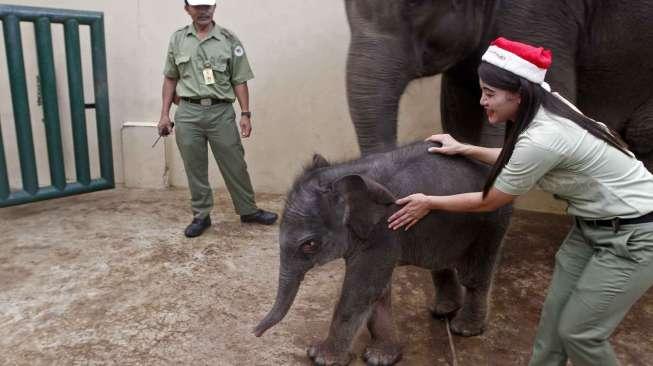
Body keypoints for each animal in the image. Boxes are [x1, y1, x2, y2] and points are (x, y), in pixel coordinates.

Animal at [252, 142, 512, 364]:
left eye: (310, 245)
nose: (254, 332)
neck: (348, 174)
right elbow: (378, 290)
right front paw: (382, 357)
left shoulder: (385, 229)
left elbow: (362, 288)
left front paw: (321, 357)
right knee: (439, 263)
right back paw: (443, 311)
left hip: (492, 219)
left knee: (475, 274)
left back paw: (464, 329)